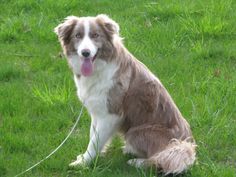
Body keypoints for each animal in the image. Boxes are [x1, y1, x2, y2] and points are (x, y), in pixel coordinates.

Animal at [54, 14, 196, 174]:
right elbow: (93, 135)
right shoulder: (97, 110)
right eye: (77, 35)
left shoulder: (111, 114)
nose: (85, 53)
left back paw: (136, 162)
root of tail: (187, 145)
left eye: (95, 35)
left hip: (137, 132)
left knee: (163, 160)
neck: (99, 68)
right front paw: (93, 157)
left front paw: (83, 163)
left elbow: (95, 141)